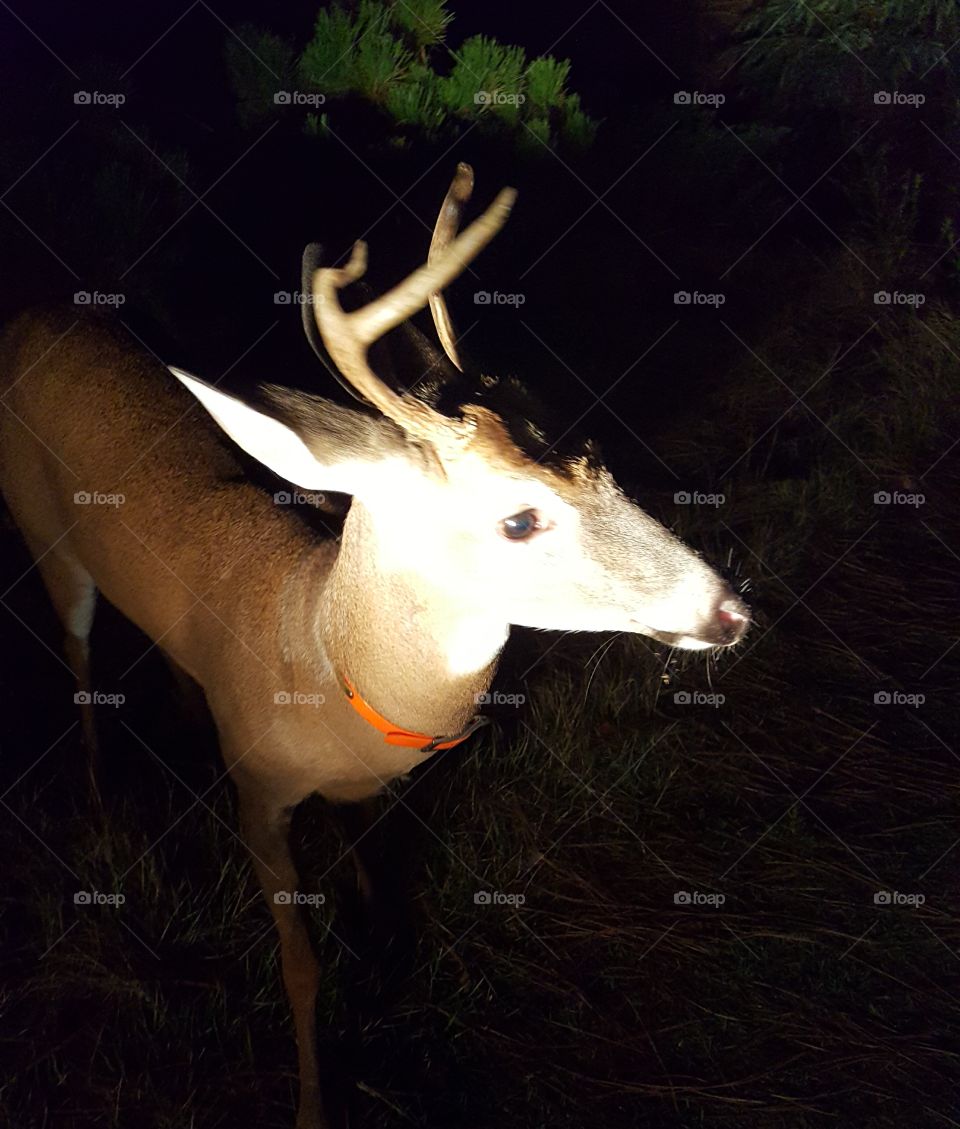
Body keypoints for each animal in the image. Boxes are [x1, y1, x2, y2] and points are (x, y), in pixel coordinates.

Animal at [0, 163, 749, 1128]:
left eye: (596, 450)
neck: (323, 659)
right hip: (45, 535)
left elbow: (375, 873)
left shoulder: (367, 787)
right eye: (518, 519)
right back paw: (99, 789)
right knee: (80, 651)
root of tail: (35, 315)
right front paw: (314, 1101)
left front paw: (383, 944)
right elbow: (301, 964)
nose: (729, 610)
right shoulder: (261, 794)